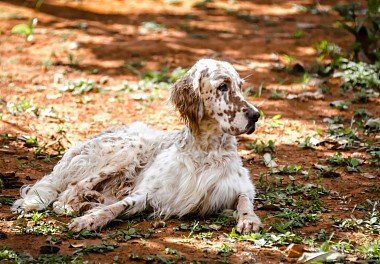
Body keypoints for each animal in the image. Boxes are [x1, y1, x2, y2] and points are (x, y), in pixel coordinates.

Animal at [11, 59, 262, 233]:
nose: (256, 115)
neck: (206, 151)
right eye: (223, 86)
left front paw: (248, 220)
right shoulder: (148, 192)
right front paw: (90, 219)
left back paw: (91, 200)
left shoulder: (240, 185)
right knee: (66, 194)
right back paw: (87, 203)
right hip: (129, 149)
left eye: (240, 86)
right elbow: (118, 207)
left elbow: (245, 201)